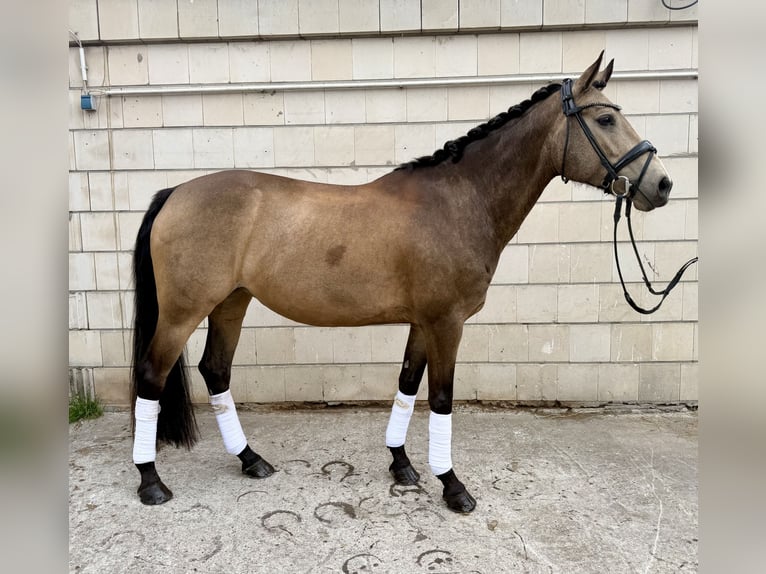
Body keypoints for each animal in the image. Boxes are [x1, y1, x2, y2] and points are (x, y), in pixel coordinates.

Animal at [130, 53, 673, 513]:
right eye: (606, 120)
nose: (663, 184)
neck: (459, 200)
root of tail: (176, 191)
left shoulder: (422, 322)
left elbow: (407, 385)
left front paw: (402, 466)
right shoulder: (447, 322)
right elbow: (441, 398)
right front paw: (452, 485)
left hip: (231, 302)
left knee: (216, 370)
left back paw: (251, 460)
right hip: (183, 311)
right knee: (152, 376)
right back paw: (151, 481)